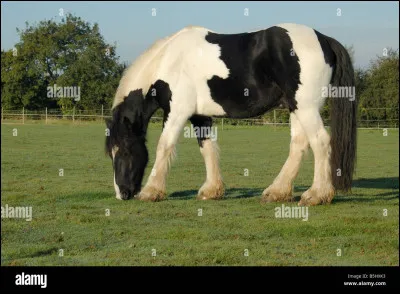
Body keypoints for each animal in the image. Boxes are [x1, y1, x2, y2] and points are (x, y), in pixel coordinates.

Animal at [105, 23, 356, 206]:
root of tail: (324, 39)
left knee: (320, 141)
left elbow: (164, 146)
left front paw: (151, 191)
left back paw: (316, 195)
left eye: (124, 150)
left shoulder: (177, 111)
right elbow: (207, 148)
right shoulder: (199, 116)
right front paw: (211, 190)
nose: (122, 194)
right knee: (299, 144)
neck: (168, 60)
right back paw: (277, 191)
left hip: (305, 107)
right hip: (296, 107)